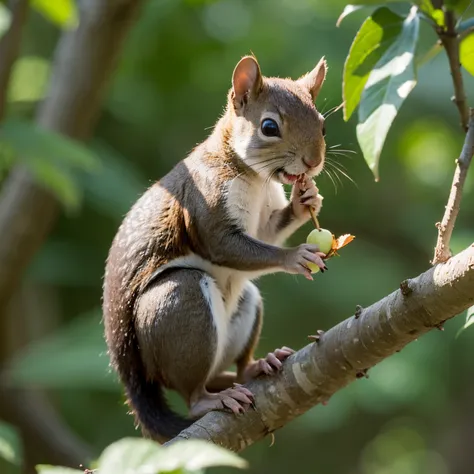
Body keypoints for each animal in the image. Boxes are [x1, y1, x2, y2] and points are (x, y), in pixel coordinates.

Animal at [102, 55, 328, 444]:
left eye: (324, 126)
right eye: (269, 127)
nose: (313, 163)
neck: (254, 178)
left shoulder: (263, 217)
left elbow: (268, 233)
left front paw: (306, 201)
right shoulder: (205, 202)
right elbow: (224, 245)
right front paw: (296, 256)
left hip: (246, 305)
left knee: (226, 369)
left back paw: (256, 366)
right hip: (181, 305)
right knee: (192, 392)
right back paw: (212, 399)